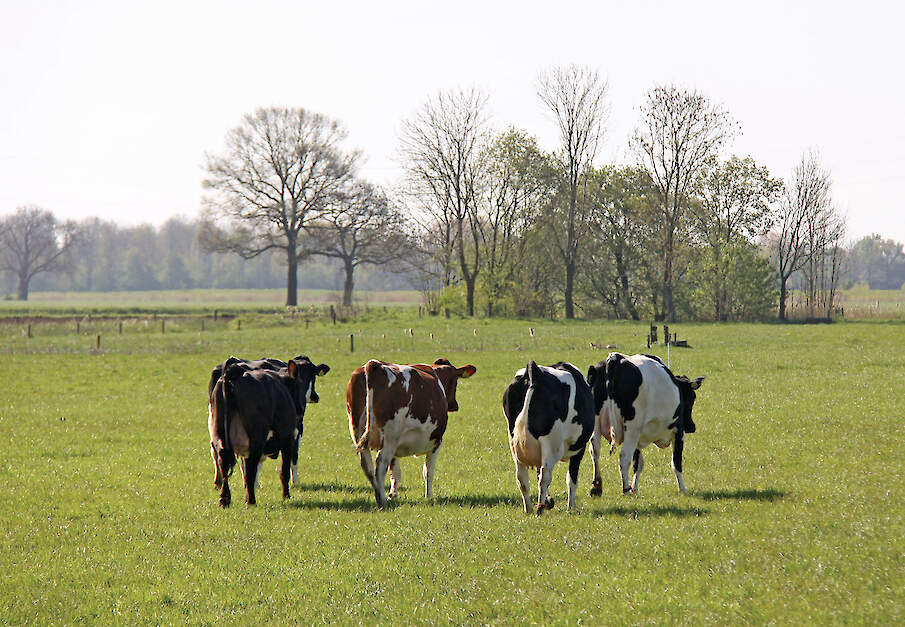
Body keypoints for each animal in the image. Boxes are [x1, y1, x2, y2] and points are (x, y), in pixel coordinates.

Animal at [208, 356, 329, 506]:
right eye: (312, 378)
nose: (315, 397)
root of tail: (233, 371)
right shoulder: (289, 436)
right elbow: (286, 468)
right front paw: (287, 495)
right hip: (256, 438)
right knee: (250, 467)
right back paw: (251, 500)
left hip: (219, 434)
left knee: (222, 459)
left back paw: (225, 498)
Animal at [346, 358, 477, 509]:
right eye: (455, 381)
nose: (455, 405)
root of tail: (374, 364)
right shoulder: (437, 442)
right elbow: (428, 471)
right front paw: (429, 496)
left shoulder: (396, 448)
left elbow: (395, 473)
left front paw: (393, 494)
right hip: (390, 438)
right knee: (380, 465)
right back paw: (382, 500)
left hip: (358, 433)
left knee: (367, 466)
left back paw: (378, 495)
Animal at [502, 361, 595, 515]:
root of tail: (536, 372)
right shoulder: (579, 450)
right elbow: (572, 479)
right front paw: (570, 508)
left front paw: (549, 501)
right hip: (550, 445)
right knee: (545, 477)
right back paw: (539, 509)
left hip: (514, 445)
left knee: (522, 478)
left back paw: (529, 509)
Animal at [586, 353, 704, 496]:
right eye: (692, 398)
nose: (692, 427)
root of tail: (615, 358)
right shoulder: (679, 432)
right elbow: (676, 462)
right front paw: (682, 489)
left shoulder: (639, 438)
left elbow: (638, 464)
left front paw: (635, 488)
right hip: (632, 428)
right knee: (624, 456)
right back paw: (625, 490)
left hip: (597, 426)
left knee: (595, 450)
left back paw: (596, 487)